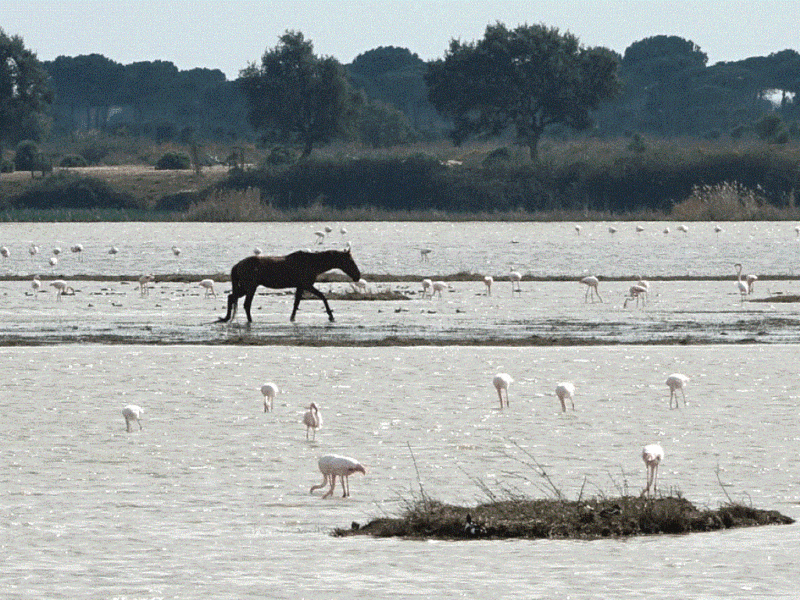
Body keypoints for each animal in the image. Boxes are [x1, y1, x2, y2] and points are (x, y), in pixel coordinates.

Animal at [216, 248, 360, 324]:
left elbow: (296, 303)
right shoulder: (307, 285)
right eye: (351, 261)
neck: (312, 263)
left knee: (231, 297)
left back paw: (226, 317)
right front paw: (331, 316)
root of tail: (238, 265)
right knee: (246, 304)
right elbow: (323, 297)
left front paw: (292, 318)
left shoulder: (301, 286)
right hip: (250, 287)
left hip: (246, 287)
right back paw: (249, 320)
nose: (358, 276)